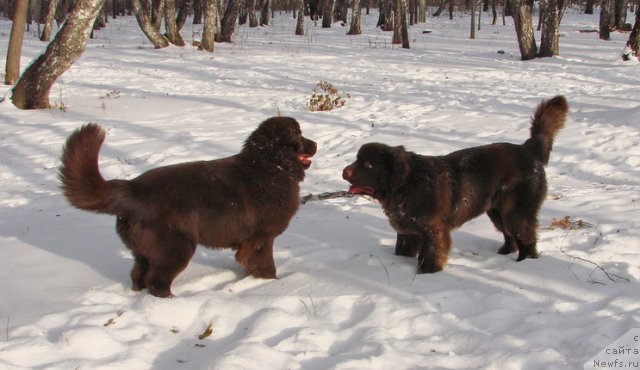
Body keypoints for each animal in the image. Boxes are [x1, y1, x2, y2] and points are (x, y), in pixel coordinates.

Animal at [61, 118, 316, 298]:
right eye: (299, 134)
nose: (315, 144)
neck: (272, 166)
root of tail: (131, 188)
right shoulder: (261, 238)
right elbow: (265, 265)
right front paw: (271, 284)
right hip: (176, 247)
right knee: (156, 281)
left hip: (145, 252)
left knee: (138, 276)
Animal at [342, 95, 568, 274]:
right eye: (357, 159)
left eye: (369, 164)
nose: (344, 172)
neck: (407, 186)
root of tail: (528, 149)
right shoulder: (408, 232)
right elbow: (402, 251)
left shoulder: (433, 231)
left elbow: (430, 257)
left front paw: (428, 275)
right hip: (496, 210)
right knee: (510, 235)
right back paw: (503, 253)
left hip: (516, 211)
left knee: (527, 238)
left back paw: (526, 263)